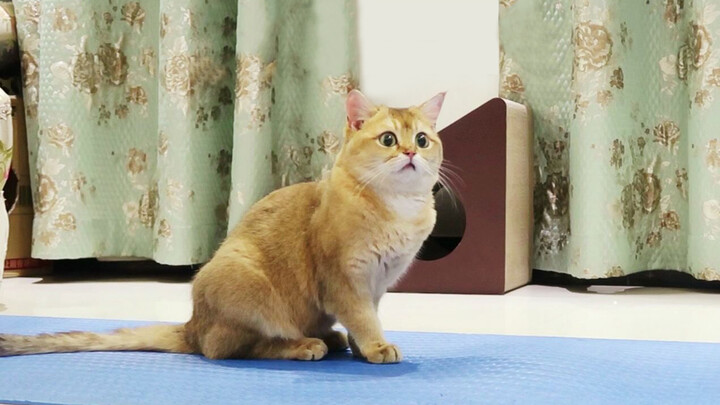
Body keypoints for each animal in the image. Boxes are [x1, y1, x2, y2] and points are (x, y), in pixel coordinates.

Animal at [0, 89, 444, 362]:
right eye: (388, 140)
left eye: (423, 140)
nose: (409, 152)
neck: (397, 210)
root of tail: (192, 326)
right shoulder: (344, 280)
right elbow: (363, 318)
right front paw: (376, 347)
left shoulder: (377, 284)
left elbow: (365, 318)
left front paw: (362, 346)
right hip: (244, 279)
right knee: (230, 348)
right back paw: (305, 344)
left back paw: (330, 338)